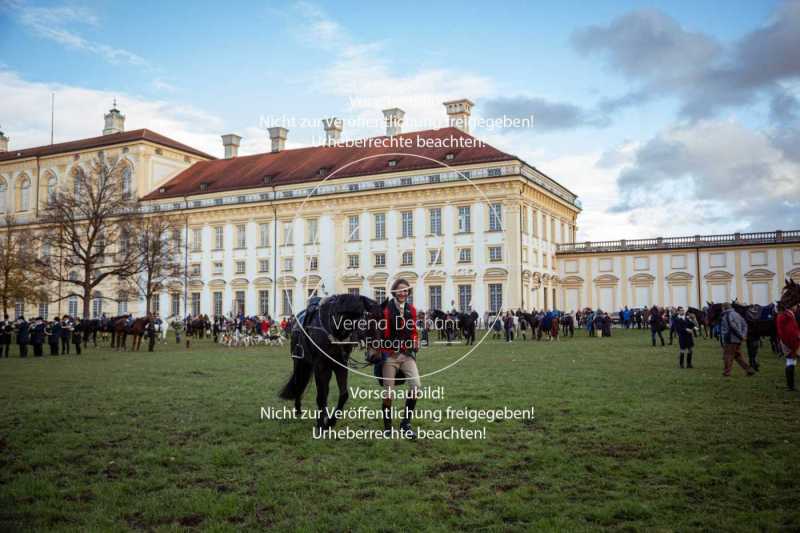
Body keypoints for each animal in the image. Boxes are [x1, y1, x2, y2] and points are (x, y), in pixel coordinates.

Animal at [282, 294, 382, 430]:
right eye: (370, 323)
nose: (376, 356)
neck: (334, 328)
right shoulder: (320, 366)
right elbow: (321, 396)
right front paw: (321, 425)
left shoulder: (341, 365)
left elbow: (343, 394)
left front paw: (330, 421)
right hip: (299, 362)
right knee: (299, 382)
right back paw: (298, 410)